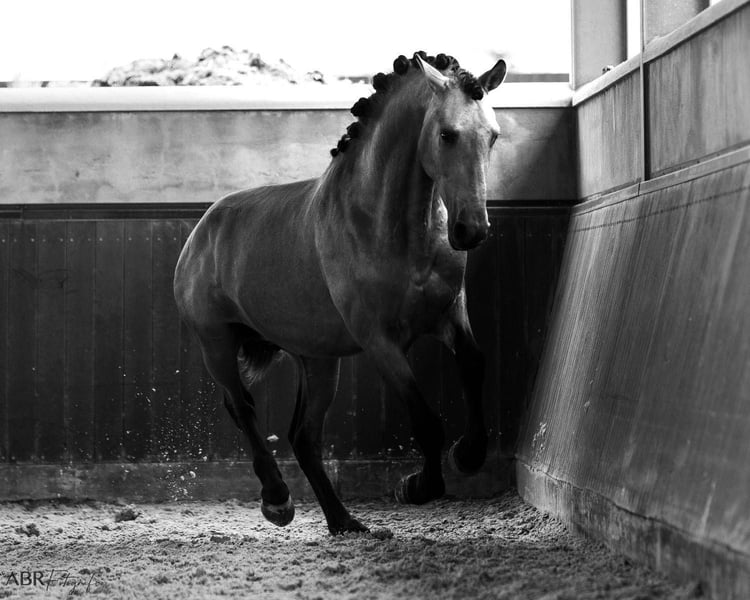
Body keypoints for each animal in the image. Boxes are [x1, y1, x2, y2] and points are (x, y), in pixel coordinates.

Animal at [174, 51, 507, 534]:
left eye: (493, 136)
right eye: (447, 134)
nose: (472, 230)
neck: (389, 227)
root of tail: (203, 228)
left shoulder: (449, 314)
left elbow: (475, 365)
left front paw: (468, 453)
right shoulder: (380, 340)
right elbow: (425, 420)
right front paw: (416, 487)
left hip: (317, 360)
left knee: (302, 437)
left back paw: (343, 521)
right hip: (216, 344)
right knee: (243, 407)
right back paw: (277, 500)